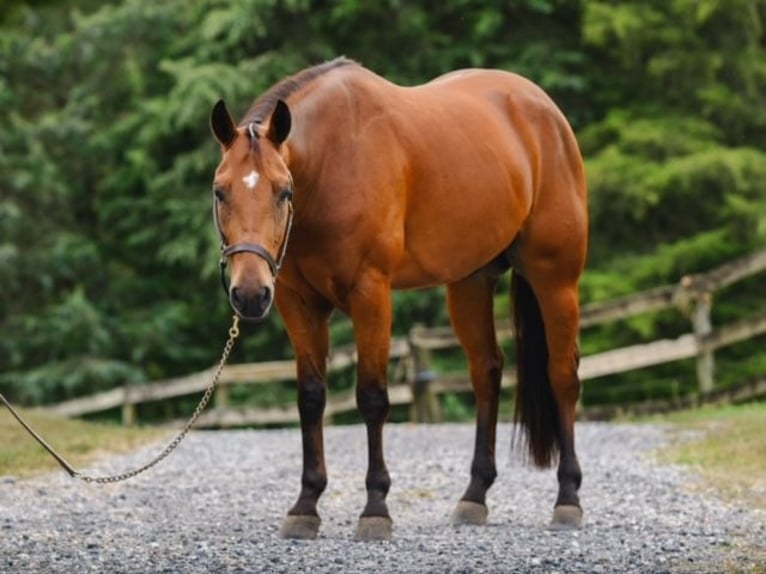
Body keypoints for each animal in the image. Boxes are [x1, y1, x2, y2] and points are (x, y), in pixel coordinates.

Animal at [209, 57, 588, 541]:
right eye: (220, 191)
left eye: (283, 191)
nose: (251, 293)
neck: (332, 162)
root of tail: (544, 110)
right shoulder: (297, 302)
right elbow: (311, 398)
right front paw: (306, 505)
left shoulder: (371, 294)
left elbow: (372, 397)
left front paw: (375, 508)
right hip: (469, 283)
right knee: (486, 373)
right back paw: (474, 496)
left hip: (555, 278)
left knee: (562, 376)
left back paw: (568, 499)